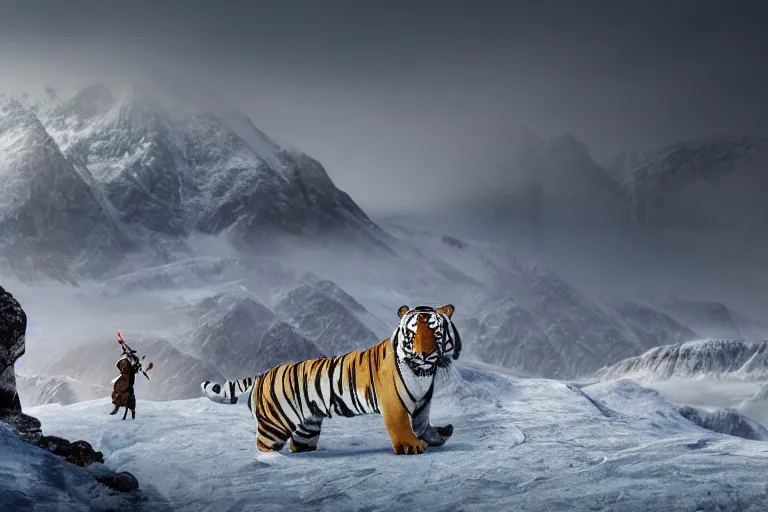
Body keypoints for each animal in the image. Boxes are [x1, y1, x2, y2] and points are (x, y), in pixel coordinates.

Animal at [200, 304, 462, 456]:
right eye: (412, 333)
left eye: (435, 332)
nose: (424, 354)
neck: (423, 374)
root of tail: (262, 373)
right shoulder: (393, 403)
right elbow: (402, 425)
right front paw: (412, 446)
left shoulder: (422, 403)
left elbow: (422, 424)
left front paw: (439, 434)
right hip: (273, 425)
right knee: (264, 444)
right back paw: (273, 457)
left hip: (307, 427)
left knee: (300, 443)